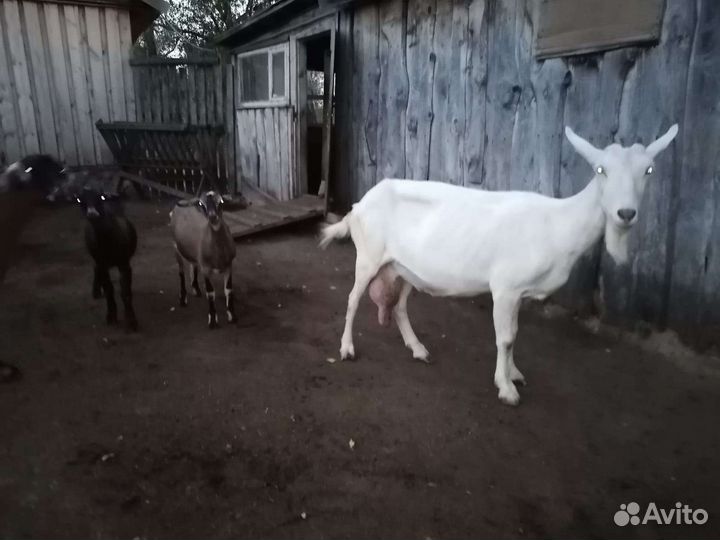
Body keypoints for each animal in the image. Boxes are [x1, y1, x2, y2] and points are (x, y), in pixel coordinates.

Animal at [77, 187, 138, 332]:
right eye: (80, 201)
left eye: (101, 197)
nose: (92, 214)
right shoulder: (102, 263)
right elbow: (110, 290)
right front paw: (111, 316)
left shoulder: (124, 264)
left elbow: (125, 292)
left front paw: (131, 321)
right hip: (97, 258)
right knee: (95, 268)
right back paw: (96, 291)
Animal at [170, 191, 236, 328]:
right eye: (202, 204)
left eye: (221, 202)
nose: (212, 217)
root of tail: (185, 201)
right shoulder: (206, 268)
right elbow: (210, 293)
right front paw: (213, 320)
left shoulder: (229, 265)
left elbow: (229, 290)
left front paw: (232, 316)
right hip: (175, 247)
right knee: (181, 272)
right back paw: (183, 298)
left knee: (193, 265)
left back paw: (195, 288)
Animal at [320, 124, 679, 406]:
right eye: (600, 170)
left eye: (649, 170)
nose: (625, 213)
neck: (557, 224)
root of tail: (358, 206)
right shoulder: (506, 287)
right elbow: (505, 338)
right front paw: (506, 388)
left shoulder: (519, 292)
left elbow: (514, 335)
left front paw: (514, 373)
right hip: (368, 255)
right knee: (352, 299)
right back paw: (347, 348)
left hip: (405, 267)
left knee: (398, 306)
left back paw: (418, 349)